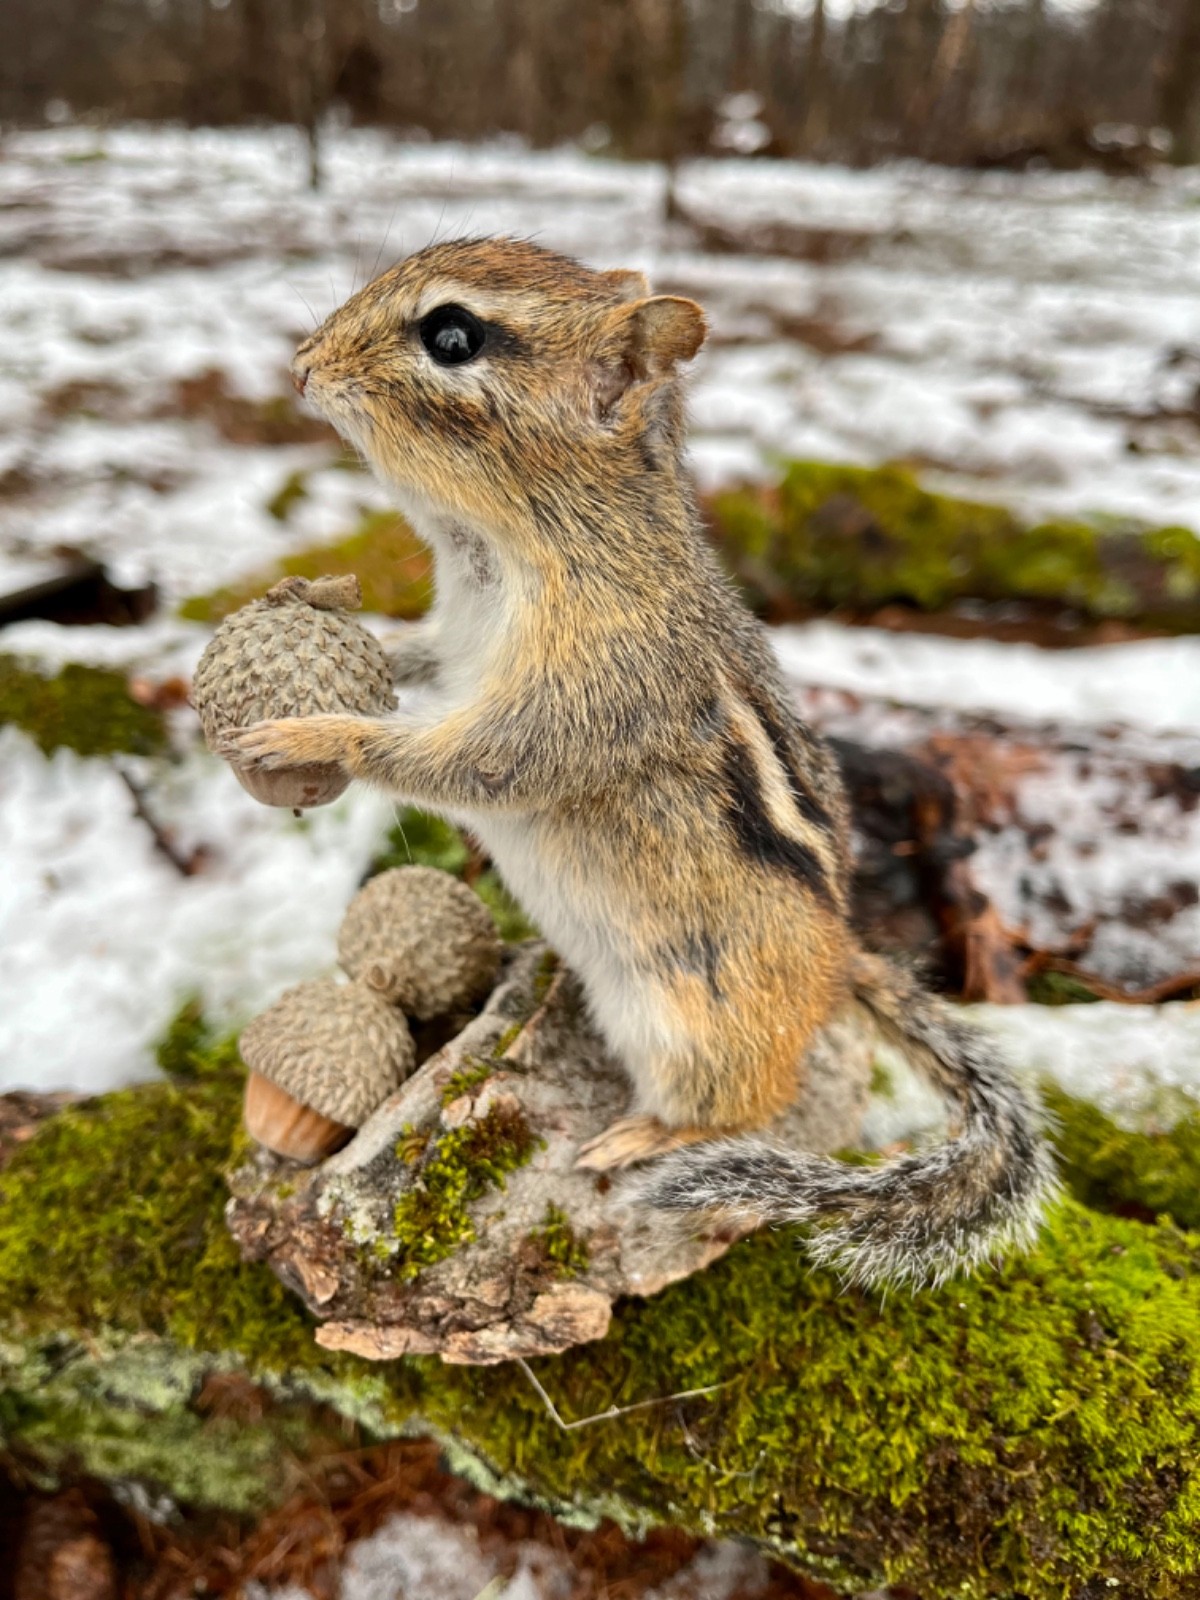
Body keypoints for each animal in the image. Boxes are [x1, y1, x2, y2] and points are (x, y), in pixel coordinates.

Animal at [222, 236, 1056, 1288]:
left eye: (452, 337)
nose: (300, 366)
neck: (509, 545)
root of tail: (840, 965)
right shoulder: (457, 643)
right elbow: (416, 660)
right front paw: (314, 598)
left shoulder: (586, 694)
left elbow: (477, 766)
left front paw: (311, 734)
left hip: (692, 1028)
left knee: (742, 1104)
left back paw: (647, 1138)